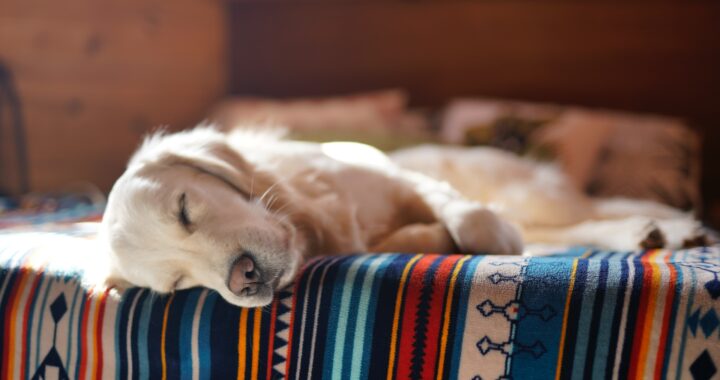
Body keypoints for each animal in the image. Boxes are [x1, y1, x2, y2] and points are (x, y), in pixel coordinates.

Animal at [98, 127, 520, 306]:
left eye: (183, 209)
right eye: (177, 283)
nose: (243, 279)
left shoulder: (395, 179)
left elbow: (466, 217)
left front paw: (502, 236)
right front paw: (433, 235)